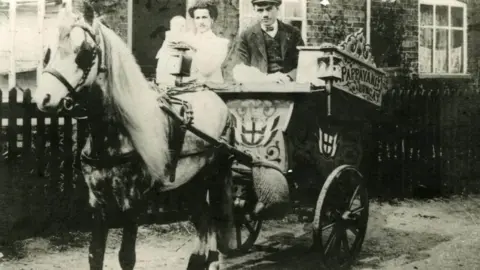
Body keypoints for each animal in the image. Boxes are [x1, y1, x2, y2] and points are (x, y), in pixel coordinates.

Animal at [32, 4, 236, 270]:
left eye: (85, 53)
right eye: (48, 52)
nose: (43, 99)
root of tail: (219, 102)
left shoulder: (133, 204)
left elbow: (126, 257)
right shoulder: (98, 202)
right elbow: (95, 254)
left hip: (213, 176)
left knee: (214, 218)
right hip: (191, 182)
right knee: (202, 218)